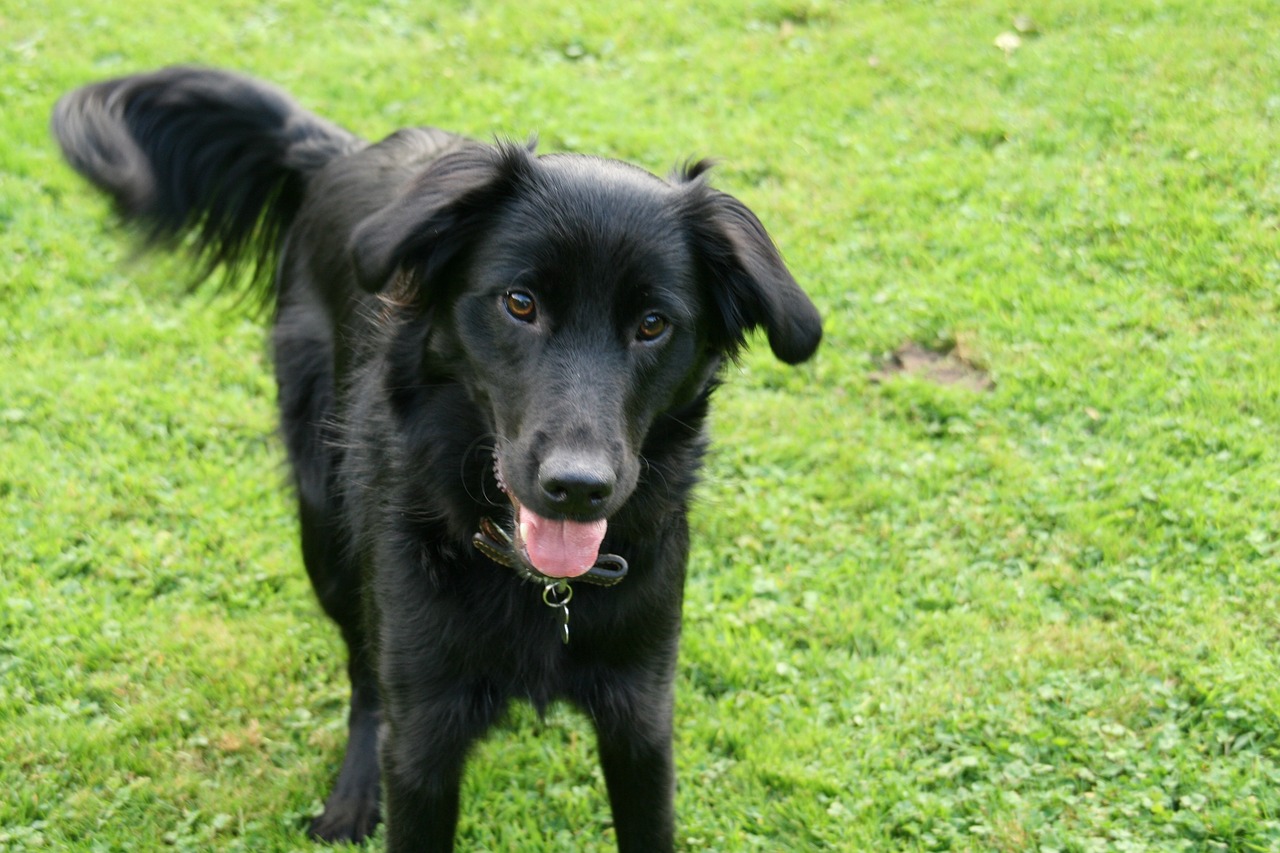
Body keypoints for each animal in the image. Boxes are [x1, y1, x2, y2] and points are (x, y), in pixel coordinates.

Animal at [52, 68, 819, 850]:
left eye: (654, 325)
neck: (538, 584)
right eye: (520, 303)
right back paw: (353, 794)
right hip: (327, 533)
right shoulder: (424, 733)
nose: (578, 487)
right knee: (364, 675)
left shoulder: (641, 717)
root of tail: (337, 153)